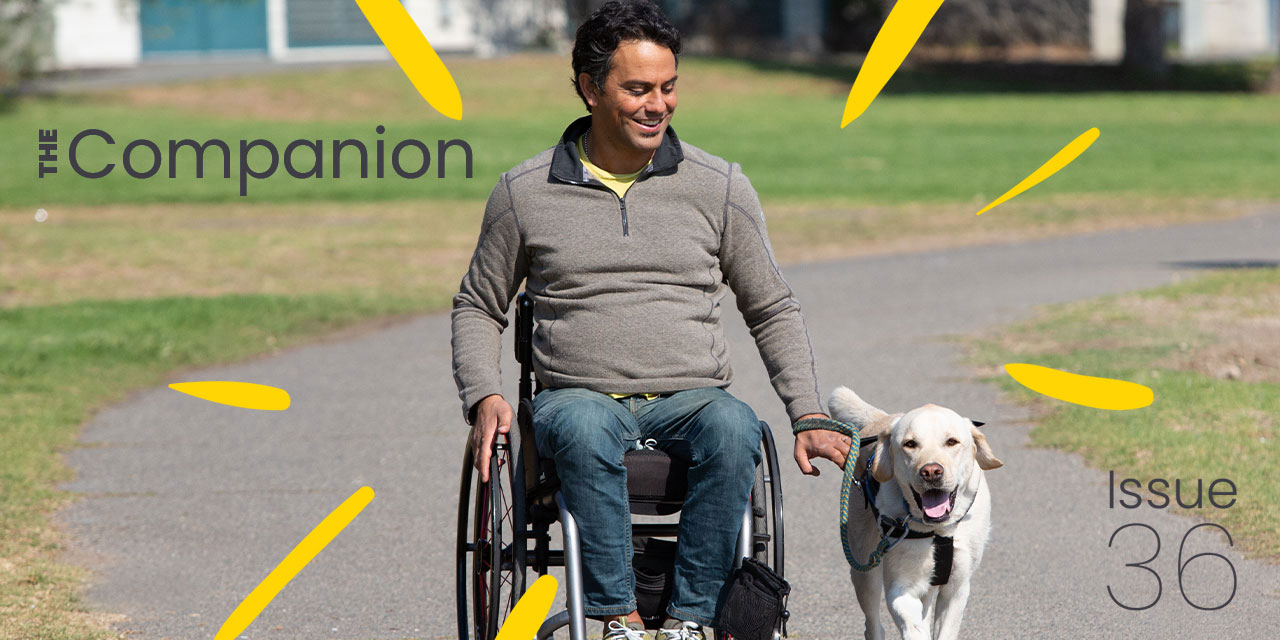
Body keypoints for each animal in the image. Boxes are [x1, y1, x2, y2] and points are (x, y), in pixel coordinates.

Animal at [829, 384, 998, 640]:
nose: (931, 471)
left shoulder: (957, 587)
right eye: (910, 444)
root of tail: (881, 419)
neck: (939, 530)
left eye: (952, 442)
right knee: (873, 623)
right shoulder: (900, 586)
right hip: (863, 569)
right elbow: (913, 625)